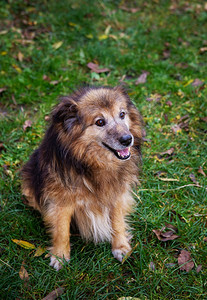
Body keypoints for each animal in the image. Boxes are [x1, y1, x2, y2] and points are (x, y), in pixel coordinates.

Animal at [21, 85, 142, 270]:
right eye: (100, 122)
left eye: (122, 114)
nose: (127, 139)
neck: (92, 163)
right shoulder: (61, 202)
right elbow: (62, 231)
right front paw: (60, 256)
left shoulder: (117, 193)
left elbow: (117, 222)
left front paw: (120, 247)